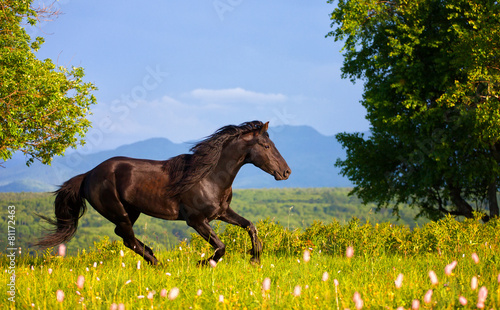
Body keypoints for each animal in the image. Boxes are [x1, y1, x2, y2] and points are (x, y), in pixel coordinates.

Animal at [37, 120, 292, 264]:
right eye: (266, 146)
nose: (286, 172)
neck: (208, 177)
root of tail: (88, 174)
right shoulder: (196, 220)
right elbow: (220, 247)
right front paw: (203, 263)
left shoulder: (222, 213)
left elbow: (251, 226)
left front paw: (255, 259)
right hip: (118, 211)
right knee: (128, 239)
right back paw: (158, 263)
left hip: (131, 211)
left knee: (124, 236)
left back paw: (154, 257)